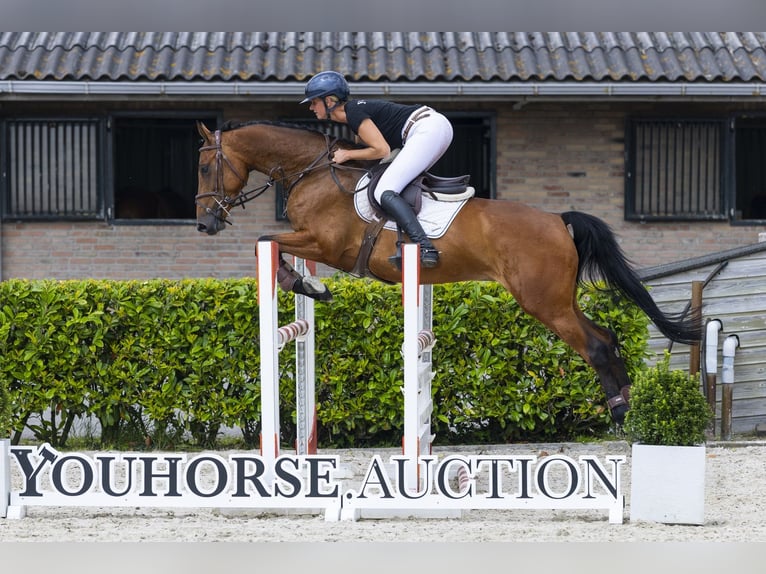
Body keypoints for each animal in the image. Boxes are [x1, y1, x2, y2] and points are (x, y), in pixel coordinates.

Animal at [194, 119, 702, 425]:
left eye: (202, 166)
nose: (204, 224)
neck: (314, 172)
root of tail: (558, 220)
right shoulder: (314, 241)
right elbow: (270, 242)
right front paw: (306, 282)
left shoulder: (326, 244)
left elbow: (266, 241)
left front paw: (305, 283)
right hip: (558, 299)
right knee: (607, 337)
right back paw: (629, 405)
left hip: (543, 302)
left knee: (594, 345)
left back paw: (618, 412)